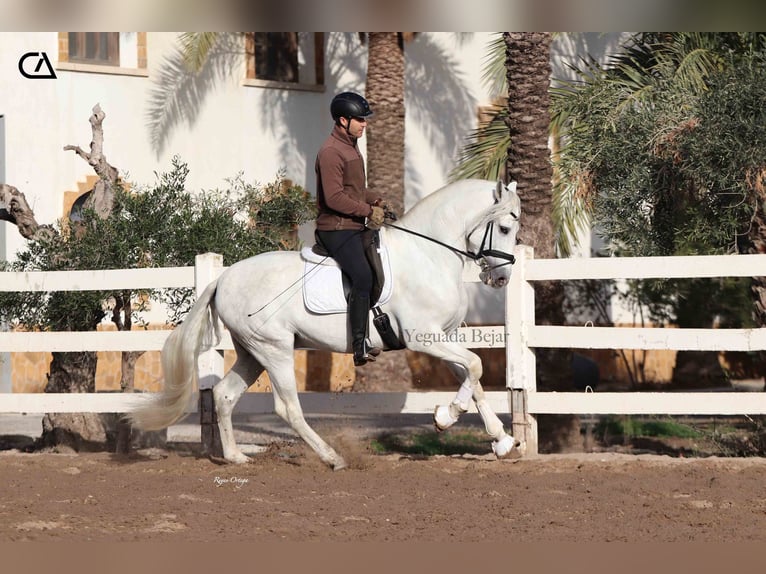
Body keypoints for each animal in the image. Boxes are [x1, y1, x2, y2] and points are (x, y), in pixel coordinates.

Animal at [130, 180, 528, 472]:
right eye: (505, 227)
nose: (502, 278)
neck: (428, 255)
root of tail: (223, 278)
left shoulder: (444, 337)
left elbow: (473, 377)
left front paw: (502, 440)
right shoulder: (423, 338)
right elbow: (475, 366)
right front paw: (446, 417)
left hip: (251, 352)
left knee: (224, 395)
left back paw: (236, 457)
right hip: (275, 350)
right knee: (288, 409)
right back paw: (332, 457)